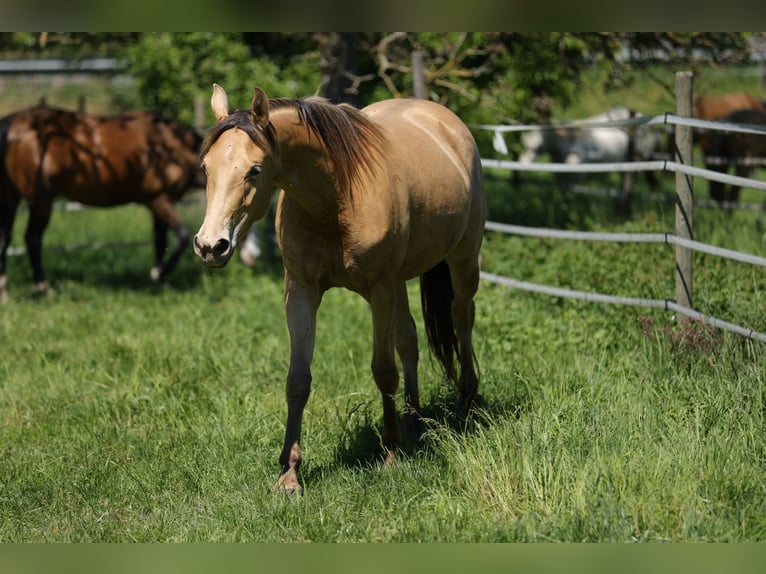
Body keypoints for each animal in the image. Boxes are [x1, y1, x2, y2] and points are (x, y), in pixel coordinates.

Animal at [0, 106, 204, 301]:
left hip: (10, 197)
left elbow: (160, 240)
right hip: (40, 199)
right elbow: (182, 236)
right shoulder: (159, 199)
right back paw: (43, 288)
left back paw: (4, 291)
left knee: (5, 238)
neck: (171, 144)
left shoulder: (159, 203)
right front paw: (159, 274)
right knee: (33, 239)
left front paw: (159, 279)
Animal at [194, 85, 485, 494]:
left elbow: (384, 370)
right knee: (409, 340)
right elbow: (298, 380)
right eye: (206, 168)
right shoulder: (300, 292)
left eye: (254, 170)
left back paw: (467, 401)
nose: (210, 246)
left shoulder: (379, 290)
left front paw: (391, 454)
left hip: (462, 260)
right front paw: (289, 475)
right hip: (401, 281)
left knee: (462, 320)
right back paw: (413, 420)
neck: (335, 197)